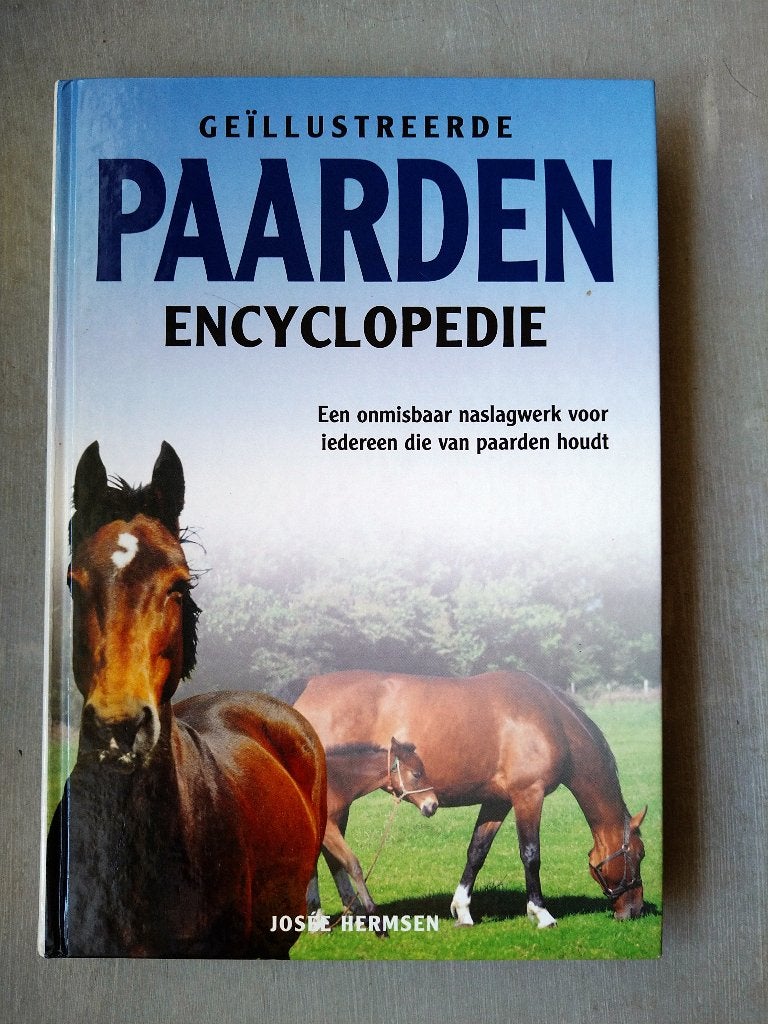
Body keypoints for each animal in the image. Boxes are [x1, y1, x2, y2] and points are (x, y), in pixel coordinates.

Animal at [307, 738, 438, 932]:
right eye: (416, 774)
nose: (433, 805)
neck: (333, 783)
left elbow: (333, 865)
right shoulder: (329, 829)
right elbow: (352, 864)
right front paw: (371, 911)